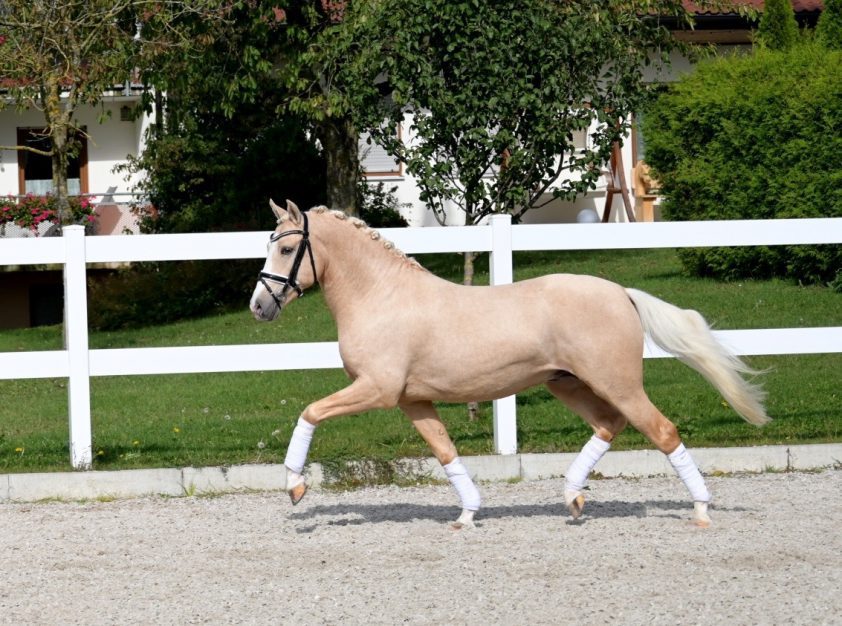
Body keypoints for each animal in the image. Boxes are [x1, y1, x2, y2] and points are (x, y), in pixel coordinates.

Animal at [250, 200, 769, 529]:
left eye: (288, 248)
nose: (258, 307)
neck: (383, 297)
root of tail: (621, 292)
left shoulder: (377, 390)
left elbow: (311, 412)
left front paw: (295, 487)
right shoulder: (412, 401)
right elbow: (445, 452)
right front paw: (467, 515)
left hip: (616, 383)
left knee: (662, 431)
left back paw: (700, 510)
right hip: (569, 384)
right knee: (610, 425)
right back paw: (573, 497)